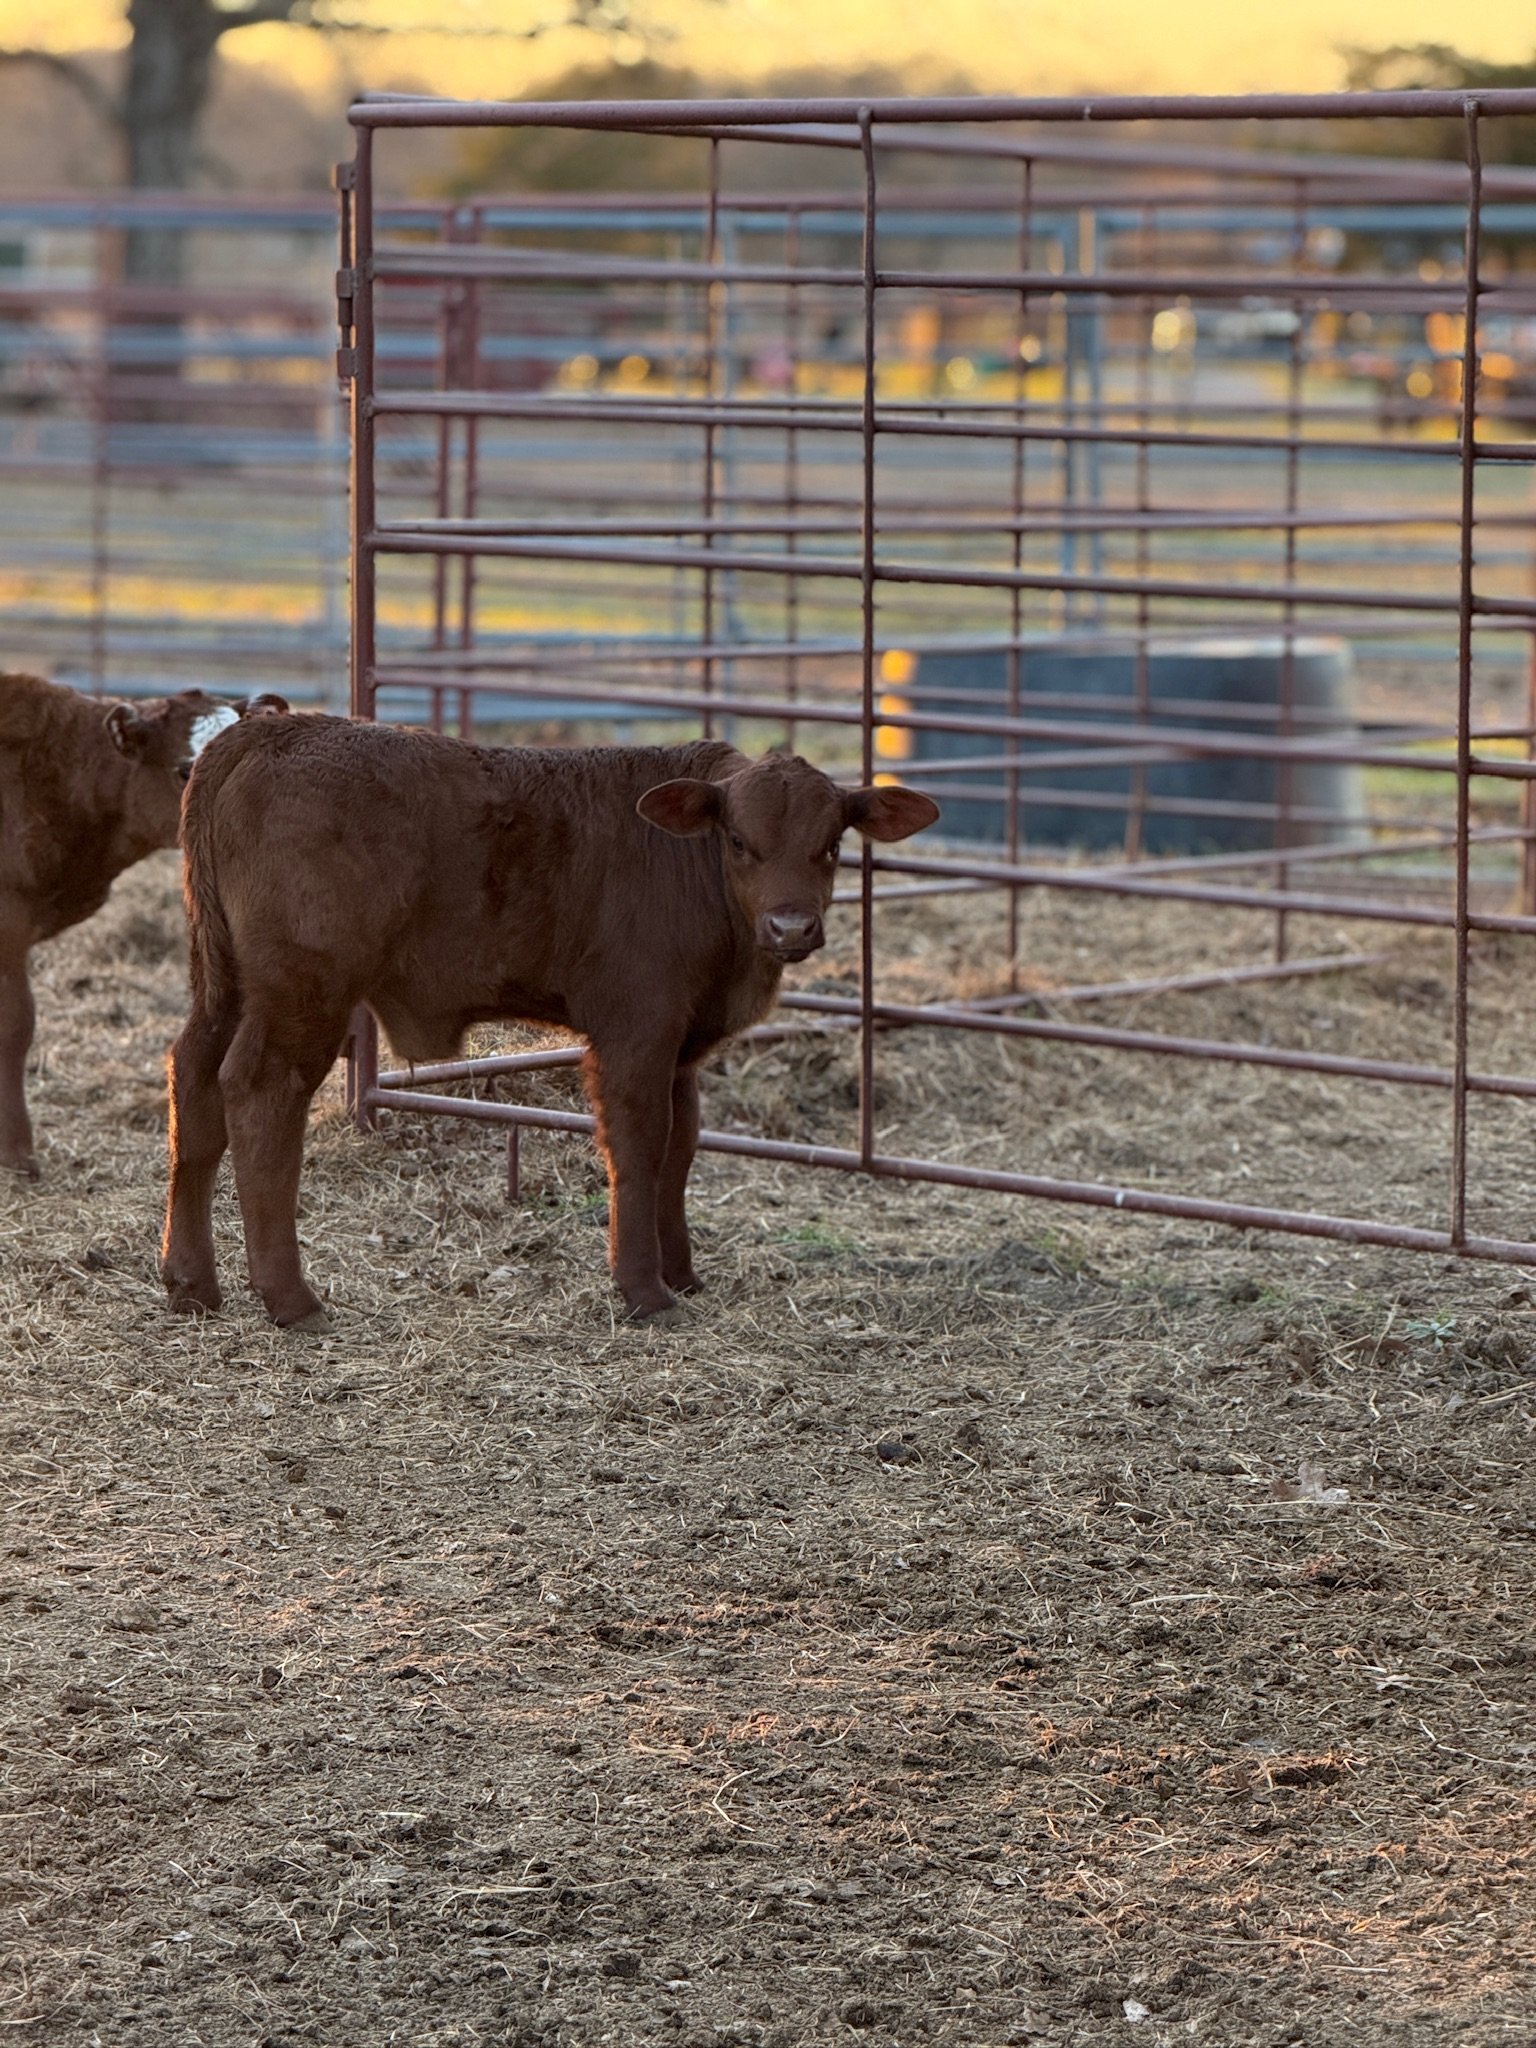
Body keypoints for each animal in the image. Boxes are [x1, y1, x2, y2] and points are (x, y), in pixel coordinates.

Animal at [160, 717, 940, 1332]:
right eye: (741, 842)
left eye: (832, 844)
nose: (791, 926)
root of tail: (268, 732)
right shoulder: (635, 1031)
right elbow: (639, 1147)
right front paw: (644, 1290)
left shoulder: (681, 1044)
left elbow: (680, 1147)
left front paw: (682, 1273)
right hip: (304, 992)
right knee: (260, 1094)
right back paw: (290, 1298)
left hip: (224, 984)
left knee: (194, 1083)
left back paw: (192, 1284)